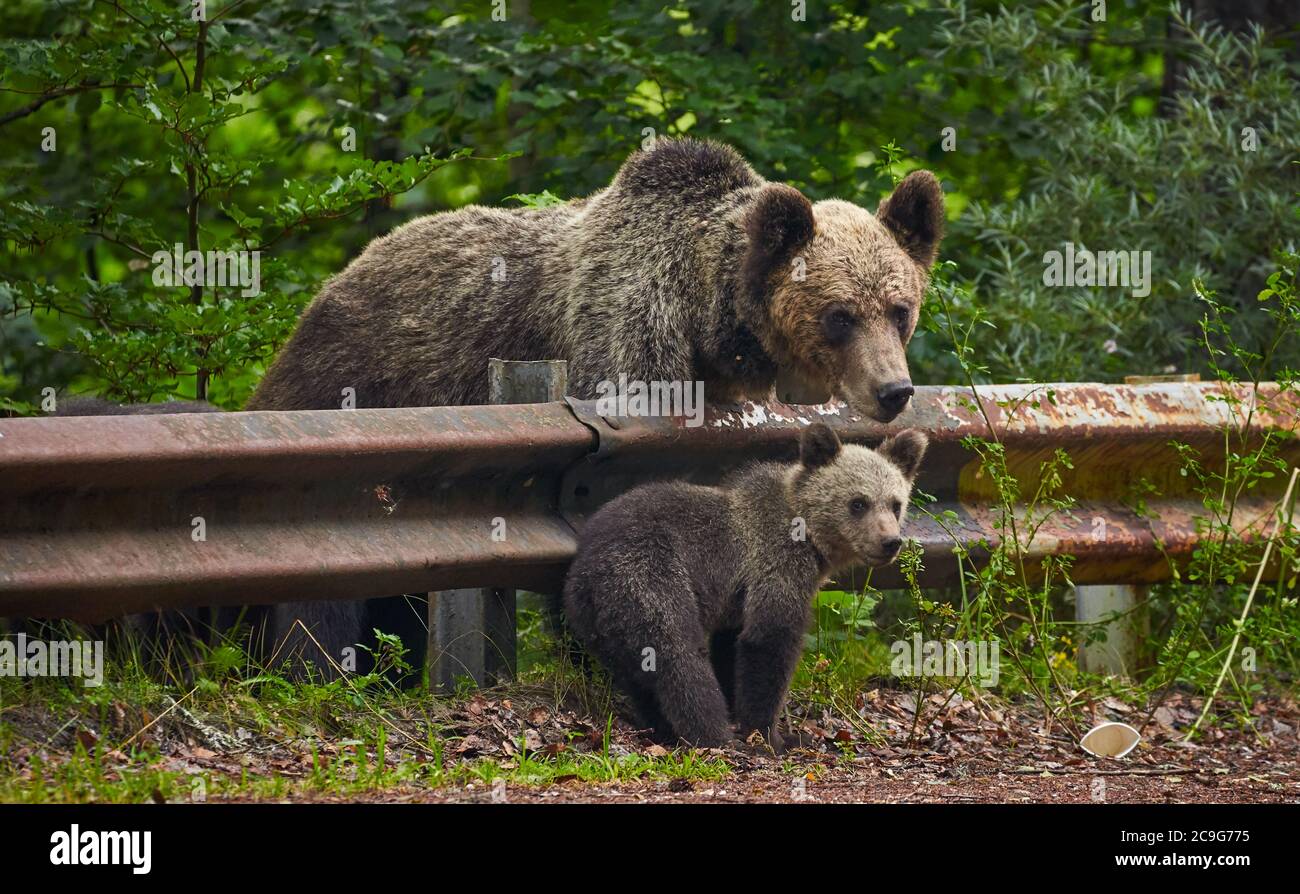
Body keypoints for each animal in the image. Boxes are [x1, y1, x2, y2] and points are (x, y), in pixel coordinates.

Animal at [245, 138, 944, 680]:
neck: (713, 325)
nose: (894, 390)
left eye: (899, 307)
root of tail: (341, 274)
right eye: (840, 315)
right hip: (354, 380)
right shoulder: (625, 341)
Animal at [561, 422, 928, 749]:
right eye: (858, 502)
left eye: (895, 503)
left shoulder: (737, 598)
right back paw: (714, 736)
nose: (890, 542)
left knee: (638, 672)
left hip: (597, 619)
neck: (809, 536)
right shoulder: (776, 562)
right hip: (650, 573)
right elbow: (769, 640)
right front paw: (773, 736)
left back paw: (662, 727)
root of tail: (586, 568)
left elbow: (731, 645)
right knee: (679, 655)